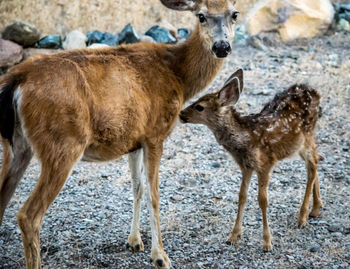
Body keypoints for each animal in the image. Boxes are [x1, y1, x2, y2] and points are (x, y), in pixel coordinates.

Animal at [0, 0, 238, 268]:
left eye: (234, 14)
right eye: (201, 16)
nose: (222, 46)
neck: (177, 74)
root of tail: (16, 80)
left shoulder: (134, 140)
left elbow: (137, 188)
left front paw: (134, 241)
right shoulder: (155, 133)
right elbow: (154, 194)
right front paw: (160, 256)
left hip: (16, 145)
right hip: (62, 143)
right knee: (28, 216)